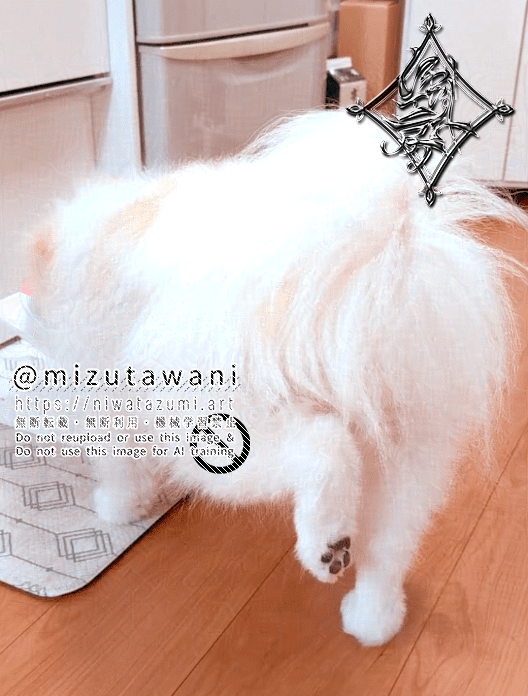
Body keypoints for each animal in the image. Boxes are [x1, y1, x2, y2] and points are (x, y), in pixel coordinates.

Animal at [27, 109, 526, 646]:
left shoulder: (109, 396)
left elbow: (117, 467)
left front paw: (117, 508)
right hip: (408, 443)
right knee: (387, 547)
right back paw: (372, 618)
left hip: (219, 424)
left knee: (322, 448)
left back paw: (324, 543)